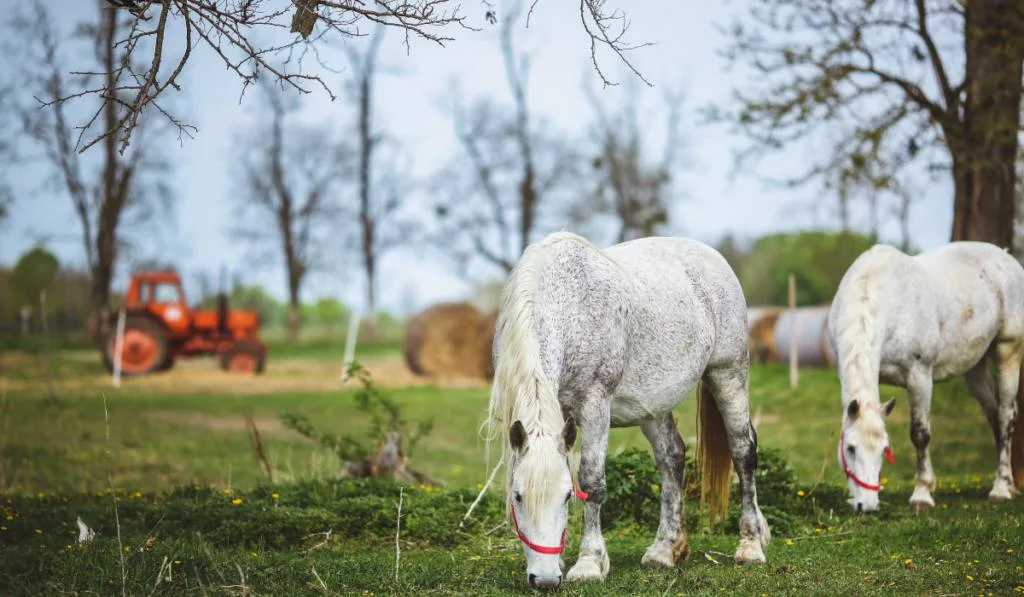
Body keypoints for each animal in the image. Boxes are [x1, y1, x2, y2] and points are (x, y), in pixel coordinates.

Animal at [485, 232, 770, 589]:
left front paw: (589, 563)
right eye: (518, 497)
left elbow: (592, 481)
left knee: (743, 453)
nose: (546, 579)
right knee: (672, 458)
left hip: (728, 374)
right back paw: (665, 550)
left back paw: (750, 546)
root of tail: (715, 259)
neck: (568, 303)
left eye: (567, 496)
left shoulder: (594, 405)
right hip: (654, 405)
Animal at [827, 241, 1024, 514]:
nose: (866, 505)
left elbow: (920, 434)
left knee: (1006, 416)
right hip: (975, 369)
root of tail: (1007, 258)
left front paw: (921, 495)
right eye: (850, 448)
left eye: (884, 449)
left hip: (1008, 351)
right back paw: (1009, 485)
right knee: (994, 415)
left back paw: (1001, 489)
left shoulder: (919, 376)